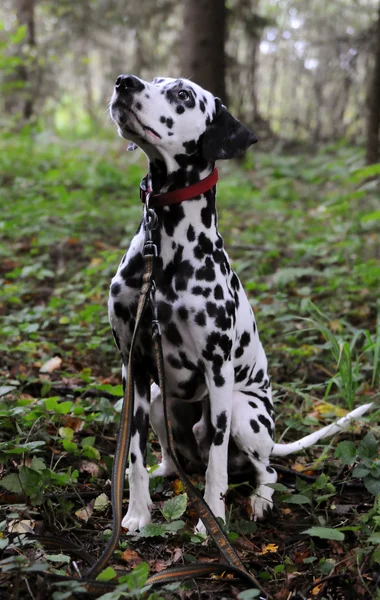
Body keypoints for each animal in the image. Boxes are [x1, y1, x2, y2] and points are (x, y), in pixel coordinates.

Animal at [108, 76, 372, 536]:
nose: (125, 82)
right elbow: (134, 453)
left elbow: (217, 467)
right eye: (151, 79)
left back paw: (259, 501)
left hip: (242, 411)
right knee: (173, 460)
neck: (167, 250)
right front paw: (138, 514)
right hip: (158, 400)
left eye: (182, 94)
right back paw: (166, 474)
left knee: (265, 470)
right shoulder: (134, 367)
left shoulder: (217, 373)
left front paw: (212, 521)